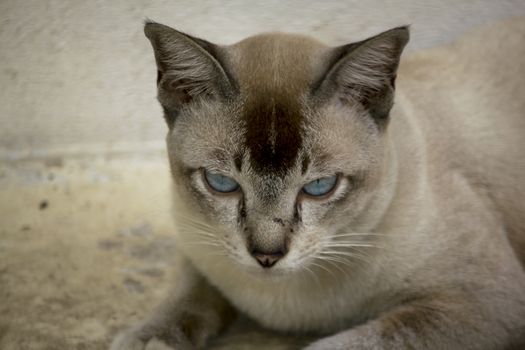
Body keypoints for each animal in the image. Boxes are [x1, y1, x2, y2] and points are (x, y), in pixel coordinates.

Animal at [110, 18, 524, 350]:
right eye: (221, 183)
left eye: (320, 187)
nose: (266, 257)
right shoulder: (199, 243)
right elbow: (186, 293)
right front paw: (149, 339)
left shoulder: (480, 301)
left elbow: (350, 342)